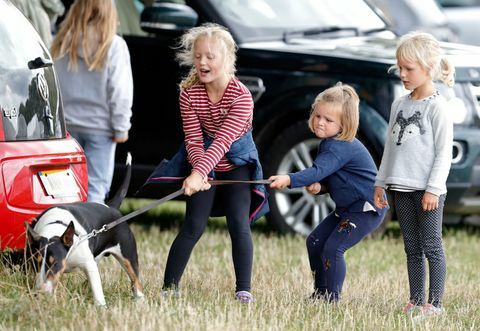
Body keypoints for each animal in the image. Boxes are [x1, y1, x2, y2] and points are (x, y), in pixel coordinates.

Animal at [24, 154, 143, 308]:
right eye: (35, 263)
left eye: (54, 263)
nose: (40, 293)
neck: (55, 225)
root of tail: (111, 207)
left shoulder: (88, 264)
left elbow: (97, 289)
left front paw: (101, 307)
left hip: (128, 254)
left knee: (135, 279)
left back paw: (140, 300)